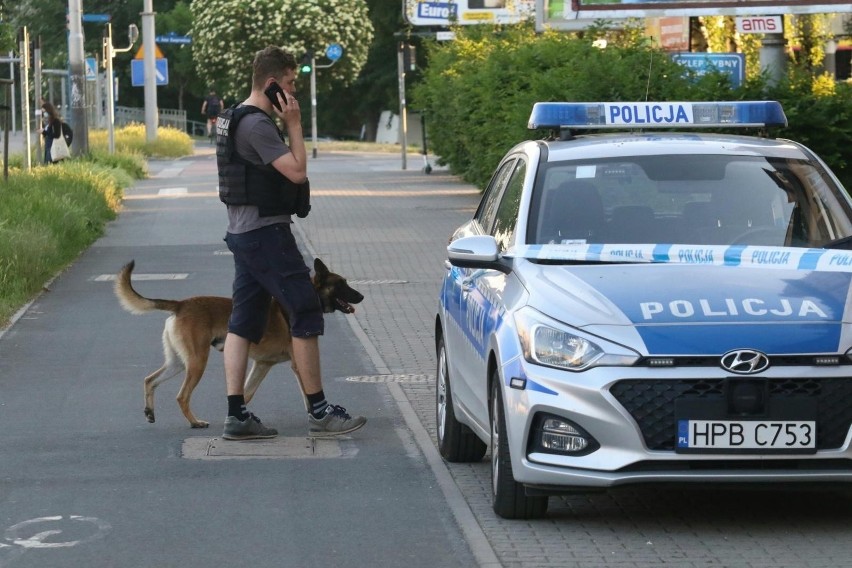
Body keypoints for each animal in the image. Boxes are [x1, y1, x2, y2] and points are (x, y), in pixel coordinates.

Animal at [115, 260, 362, 428]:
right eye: (341, 284)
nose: (361, 296)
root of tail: (181, 304)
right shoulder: (296, 364)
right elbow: (307, 394)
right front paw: (320, 418)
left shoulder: (262, 365)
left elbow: (246, 392)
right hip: (197, 362)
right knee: (181, 396)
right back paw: (195, 422)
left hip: (179, 363)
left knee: (150, 380)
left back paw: (150, 411)